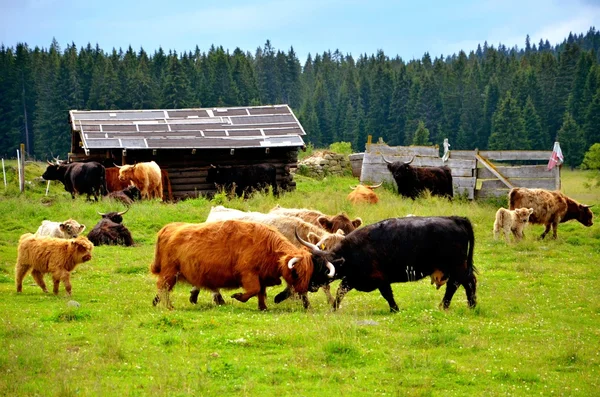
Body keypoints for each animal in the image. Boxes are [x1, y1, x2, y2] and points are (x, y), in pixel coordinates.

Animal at [149, 220, 338, 310]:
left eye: (311, 272)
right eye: (297, 273)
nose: (305, 290)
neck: (268, 247)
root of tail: (168, 228)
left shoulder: (262, 276)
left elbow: (261, 292)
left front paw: (263, 307)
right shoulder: (248, 273)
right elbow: (253, 289)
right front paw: (238, 296)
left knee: (163, 289)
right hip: (169, 272)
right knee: (163, 287)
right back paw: (169, 306)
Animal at [300, 217, 478, 312]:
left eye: (321, 269)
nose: (310, 285)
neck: (353, 251)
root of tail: (455, 219)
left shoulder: (380, 279)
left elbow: (387, 294)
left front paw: (395, 309)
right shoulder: (351, 279)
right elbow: (340, 292)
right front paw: (334, 308)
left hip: (458, 267)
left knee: (466, 283)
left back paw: (467, 305)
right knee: (458, 284)